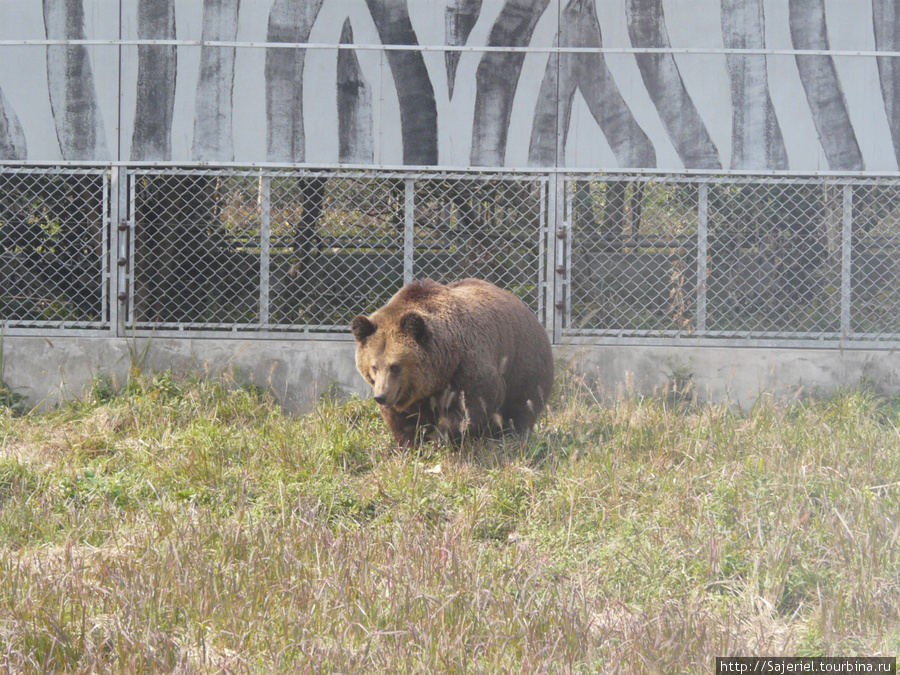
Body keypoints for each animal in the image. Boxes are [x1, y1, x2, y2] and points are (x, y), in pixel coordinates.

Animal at [354, 278, 556, 448]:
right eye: (374, 367)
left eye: (395, 366)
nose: (380, 396)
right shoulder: (412, 391)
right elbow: (406, 419)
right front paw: (412, 443)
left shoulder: (467, 365)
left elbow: (472, 407)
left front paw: (441, 438)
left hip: (523, 361)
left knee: (522, 404)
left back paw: (511, 433)